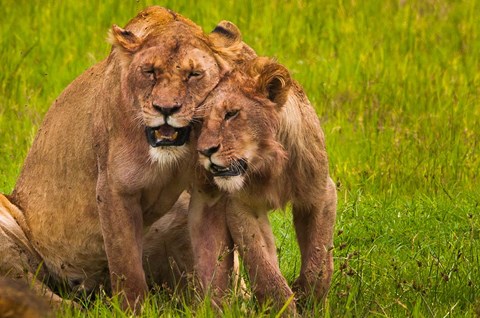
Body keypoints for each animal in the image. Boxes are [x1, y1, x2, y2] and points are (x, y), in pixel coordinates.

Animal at [0, 6, 255, 310]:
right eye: (150, 72)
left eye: (194, 74)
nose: (166, 109)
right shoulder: (114, 190)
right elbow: (127, 267)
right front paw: (135, 311)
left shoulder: (208, 194)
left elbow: (215, 262)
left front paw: (218, 308)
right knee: (43, 293)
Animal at [192, 56, 338, 310]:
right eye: (200, 121)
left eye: (231, 114)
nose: (205, 151)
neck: (270, 165)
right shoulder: (241, 206)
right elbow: (264, 268)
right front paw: (282, 307)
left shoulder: (321, 194)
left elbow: (319, 259)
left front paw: (309, 298)